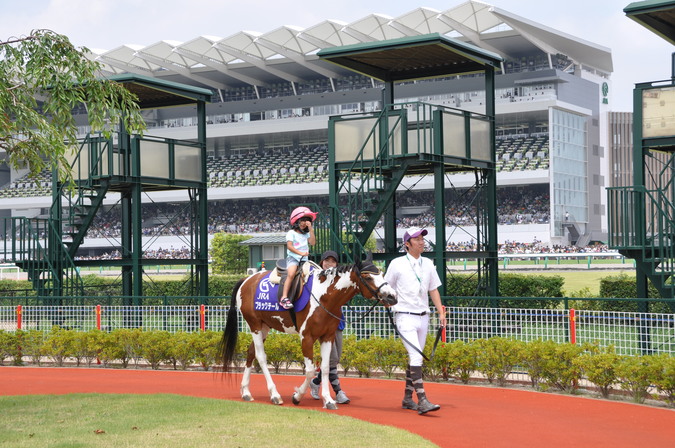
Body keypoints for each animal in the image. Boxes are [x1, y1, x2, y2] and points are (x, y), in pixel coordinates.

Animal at [217, 258, 396, 408]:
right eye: (368, 277)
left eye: (381, 273)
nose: (392, 296)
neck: (324, 296)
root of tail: (246, 280)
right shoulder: (306, 338)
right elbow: (310, 371)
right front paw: (297, 396)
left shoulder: (327, 337)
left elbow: (325, 367)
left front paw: (328, 400)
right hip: (254, 325)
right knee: (261, 357)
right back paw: (275, 395)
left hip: (264, 327)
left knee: (250, 352)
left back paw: (246, 391)